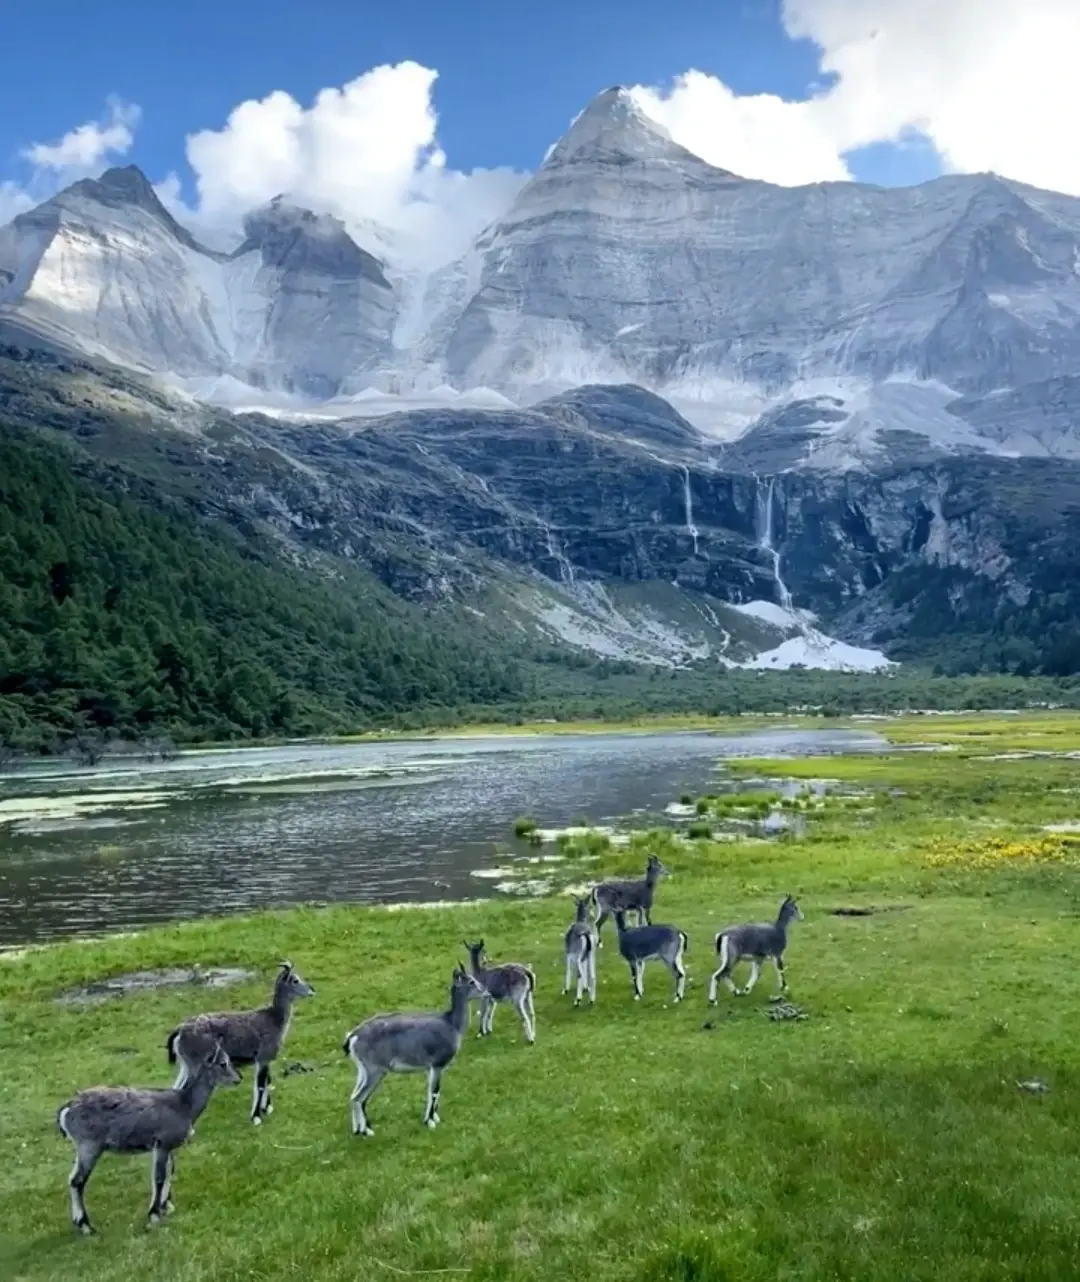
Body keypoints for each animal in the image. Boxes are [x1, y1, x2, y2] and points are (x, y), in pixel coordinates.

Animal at [56, 1040, 237, 1230]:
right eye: (223, 1063)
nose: (237, 1079)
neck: (184, 1106)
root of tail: (67, 1109)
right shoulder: (163, 1142)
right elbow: (159, 1177)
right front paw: (154, 1215)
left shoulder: (167, 1146)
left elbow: (170, 1171)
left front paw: (165, 1206)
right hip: (89, 1146)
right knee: (77, 1180)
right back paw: (85, 1225)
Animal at [165, 953, 311, 1123]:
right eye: (295, 980)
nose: (311, 991)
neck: (274, 1019)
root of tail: (179, 1030)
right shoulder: (263, 1057)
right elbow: (261, 1085)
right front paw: (256, 1117)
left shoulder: (265, 1059)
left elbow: (267, 1081)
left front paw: (267, 1108)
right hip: (195, 1064)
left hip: (185, 1065)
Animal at [343, 964, 482, 1138]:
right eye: (471, 981)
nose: (485, 991)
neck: (451, 1024)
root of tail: (352, 1036)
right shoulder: (438, 1064)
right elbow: (435, 1091)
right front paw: (430, 1122)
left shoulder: (429, 1068)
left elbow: (431, 1091)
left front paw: (434, 1117)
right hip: (375, 1070)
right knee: (359, 1098)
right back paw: (367, 1130)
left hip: (363, 1070)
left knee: (353, 1096)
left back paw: (357, 1130)